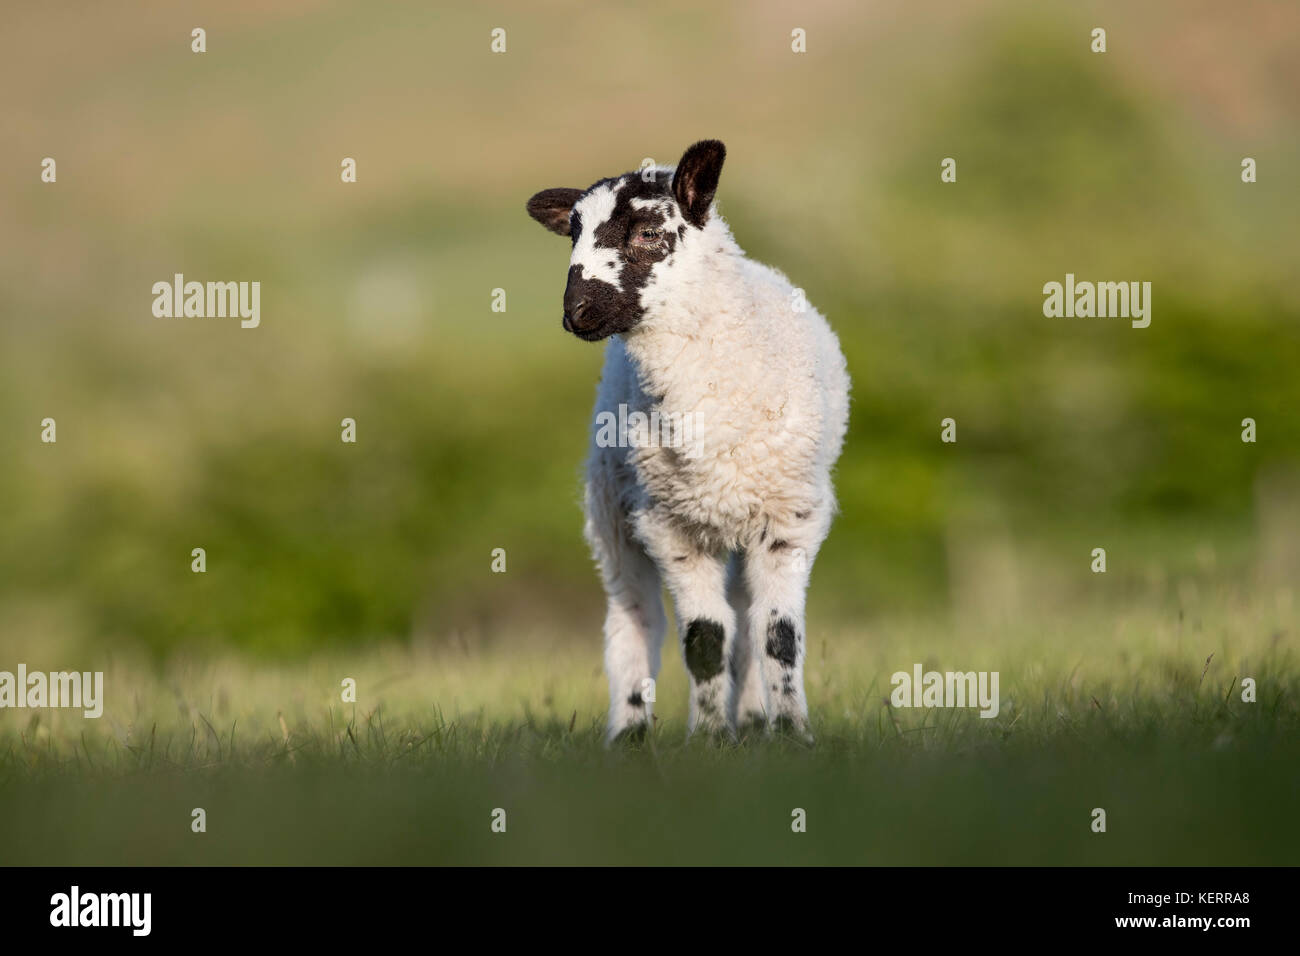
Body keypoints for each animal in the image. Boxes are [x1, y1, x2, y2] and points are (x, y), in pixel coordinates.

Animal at [526, 140, 850, 743]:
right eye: (573, 234)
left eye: (650, 232)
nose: (576, 313)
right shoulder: (669, 525)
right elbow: (703, 638)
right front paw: (710, 738)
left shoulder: (790, 521)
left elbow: (777, 636)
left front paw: (791, 734)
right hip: (612, 507)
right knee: (634, 617)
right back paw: (630, 733)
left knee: (744, 618)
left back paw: (752, 716)